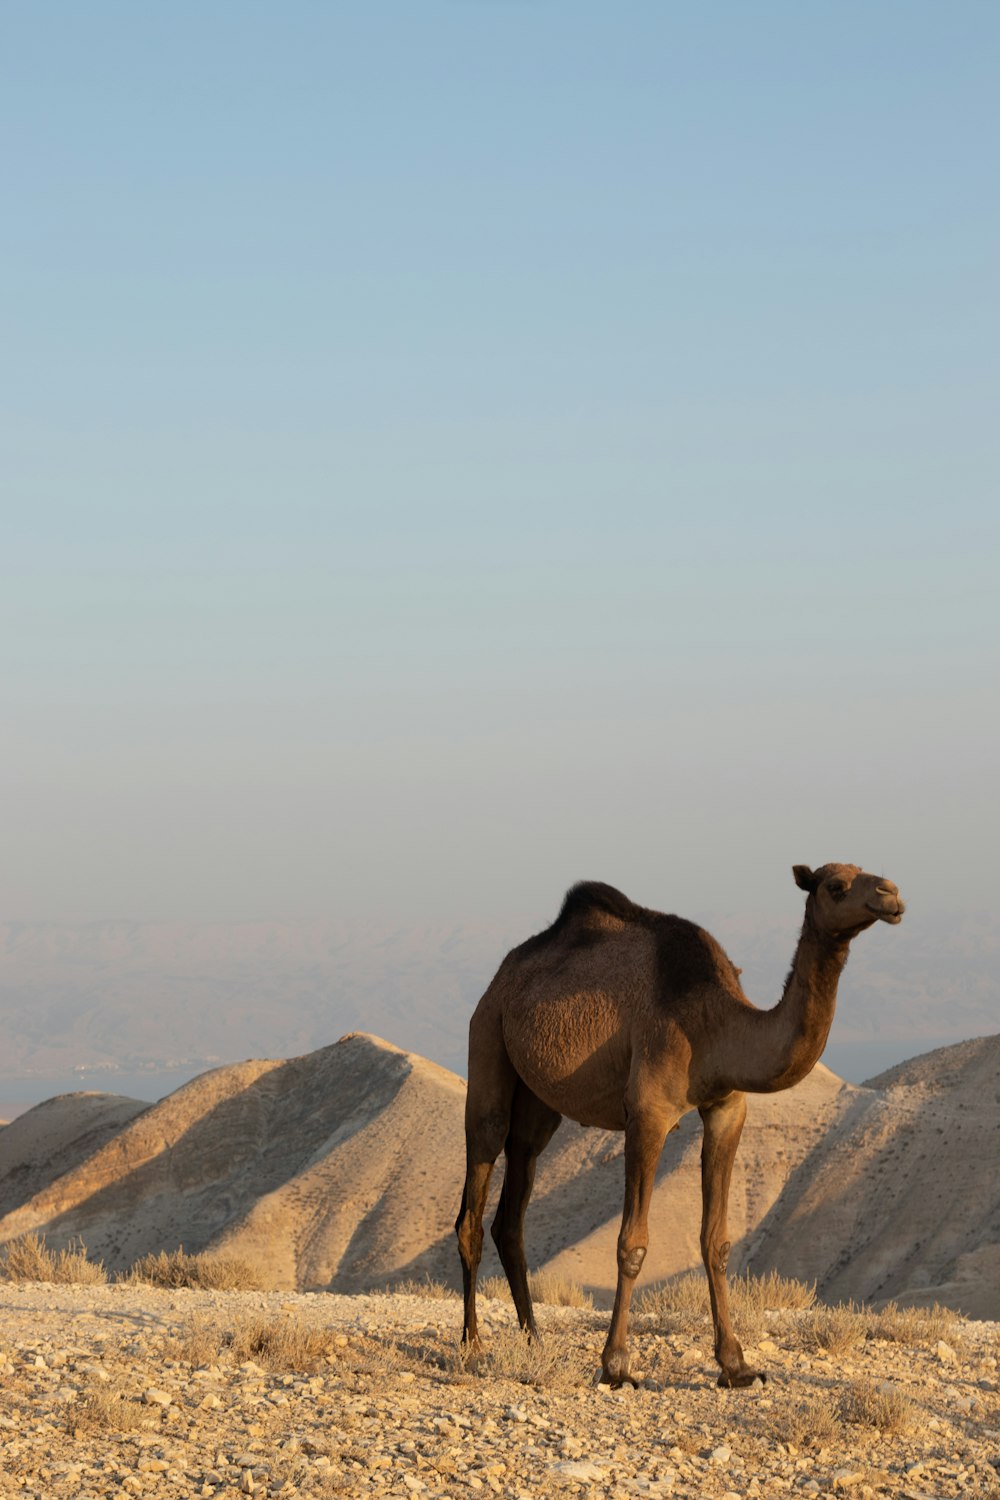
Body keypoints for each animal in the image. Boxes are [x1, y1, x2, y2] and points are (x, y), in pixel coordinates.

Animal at [458, 864, 905, 1386]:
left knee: (512, 1211)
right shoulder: (648, 1112)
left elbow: (716, 1241)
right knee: (475, 1191)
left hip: (537, 1105)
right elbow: (631, 1243)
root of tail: (501, 978)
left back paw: (534, 1340)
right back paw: (473, 1345)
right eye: (835, 886)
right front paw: (616, 1365)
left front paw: (736, 1364)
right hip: (487, 1040)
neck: (713, 1022)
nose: (891, 895)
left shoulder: (727, 1109)